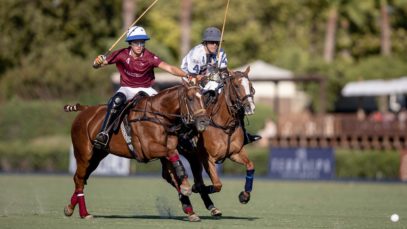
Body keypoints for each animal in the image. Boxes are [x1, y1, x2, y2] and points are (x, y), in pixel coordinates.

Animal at [63, 81, 210, 219]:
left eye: (203, 98)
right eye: (190, 98)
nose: (204, 121)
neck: (159, 117)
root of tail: (86, 109)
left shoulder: (165, 152)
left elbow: (173, 174)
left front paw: (190, 210)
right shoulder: (148, 149)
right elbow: (173, 157)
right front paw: (186, 186)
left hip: (97, 155)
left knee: (82, 178)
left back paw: (69, 208)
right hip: (84, 153)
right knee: (79, 178)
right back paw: (84, 213)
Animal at [162, 66, 255, 220]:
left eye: (251, 86)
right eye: (236, 86)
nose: (250, 107)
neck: (224, 125)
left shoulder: (235, 153)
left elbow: (250, 166)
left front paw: (244, 196)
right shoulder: (208, 159)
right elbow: (217, 185)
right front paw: (195, 188)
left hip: (192, 157)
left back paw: (211, 207)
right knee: (170, 176)